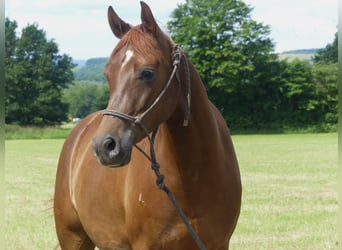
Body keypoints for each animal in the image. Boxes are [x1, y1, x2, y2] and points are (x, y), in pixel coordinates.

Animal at [54, 2, 240, 250]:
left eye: (147, 72)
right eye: (108, 75)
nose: (104, 146)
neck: (194, 176)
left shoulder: (218, 243)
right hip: (73, 237)